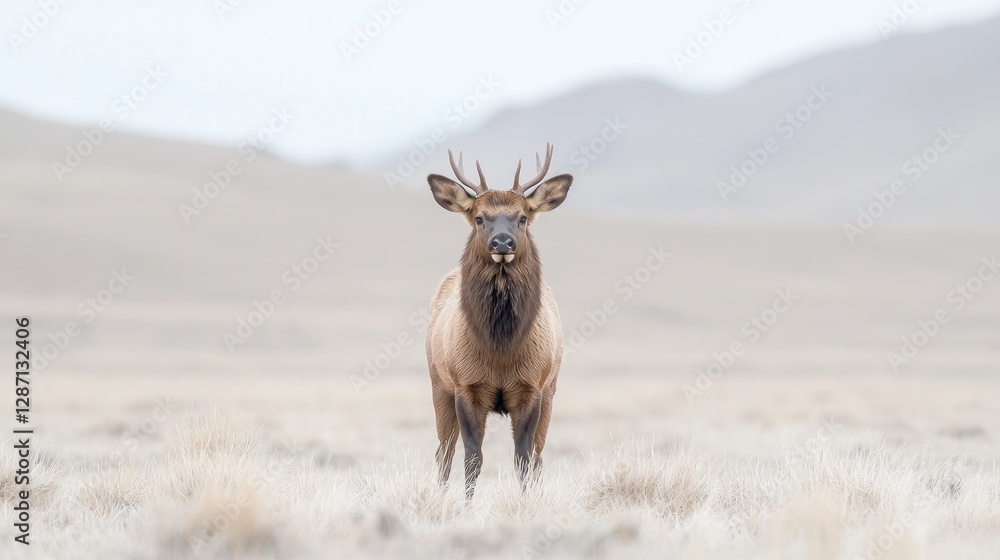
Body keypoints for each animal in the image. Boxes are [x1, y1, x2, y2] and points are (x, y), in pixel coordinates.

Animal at [425, 144, 572, 499]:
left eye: (523, 217)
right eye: (479, 217)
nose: (502, 242)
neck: (500, 349)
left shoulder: (533, 386)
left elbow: (524, 457)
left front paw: (526, 502)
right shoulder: (465, 384)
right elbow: (472, 458)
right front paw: (466, 505)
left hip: (551, 388)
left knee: (539, 455)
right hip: (438, 382)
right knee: (443, 451)